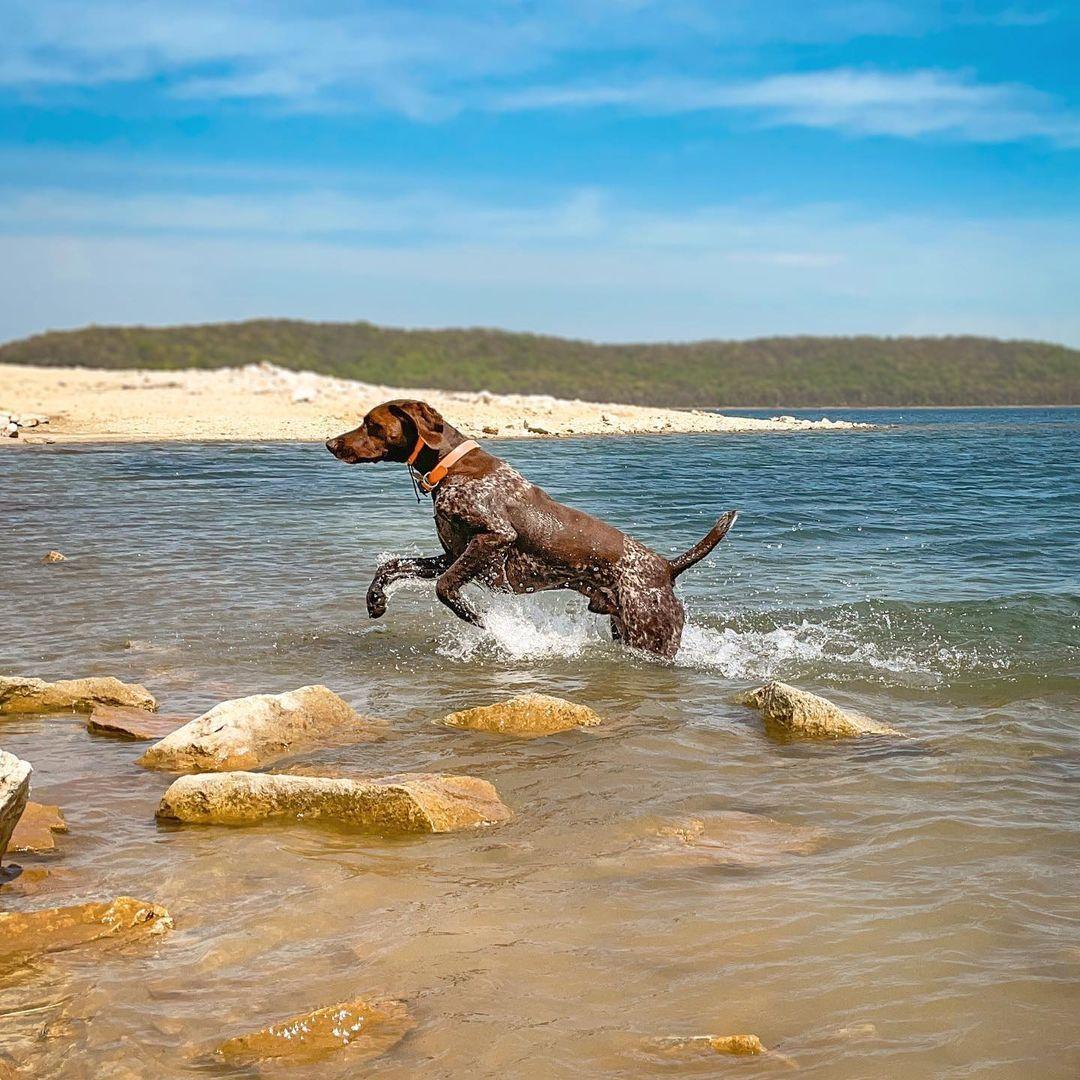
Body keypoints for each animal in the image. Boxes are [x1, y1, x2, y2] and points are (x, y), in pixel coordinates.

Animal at [324, 401, 738, 656]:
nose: (329, 443)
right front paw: (375, 600)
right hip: (624, 629)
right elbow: (391, 566)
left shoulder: (492, 538)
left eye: (371, 424)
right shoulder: (452, 554)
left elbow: (445, 589)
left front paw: (478, 619)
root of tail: (667, 568)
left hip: (649, 638)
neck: (451, 467)